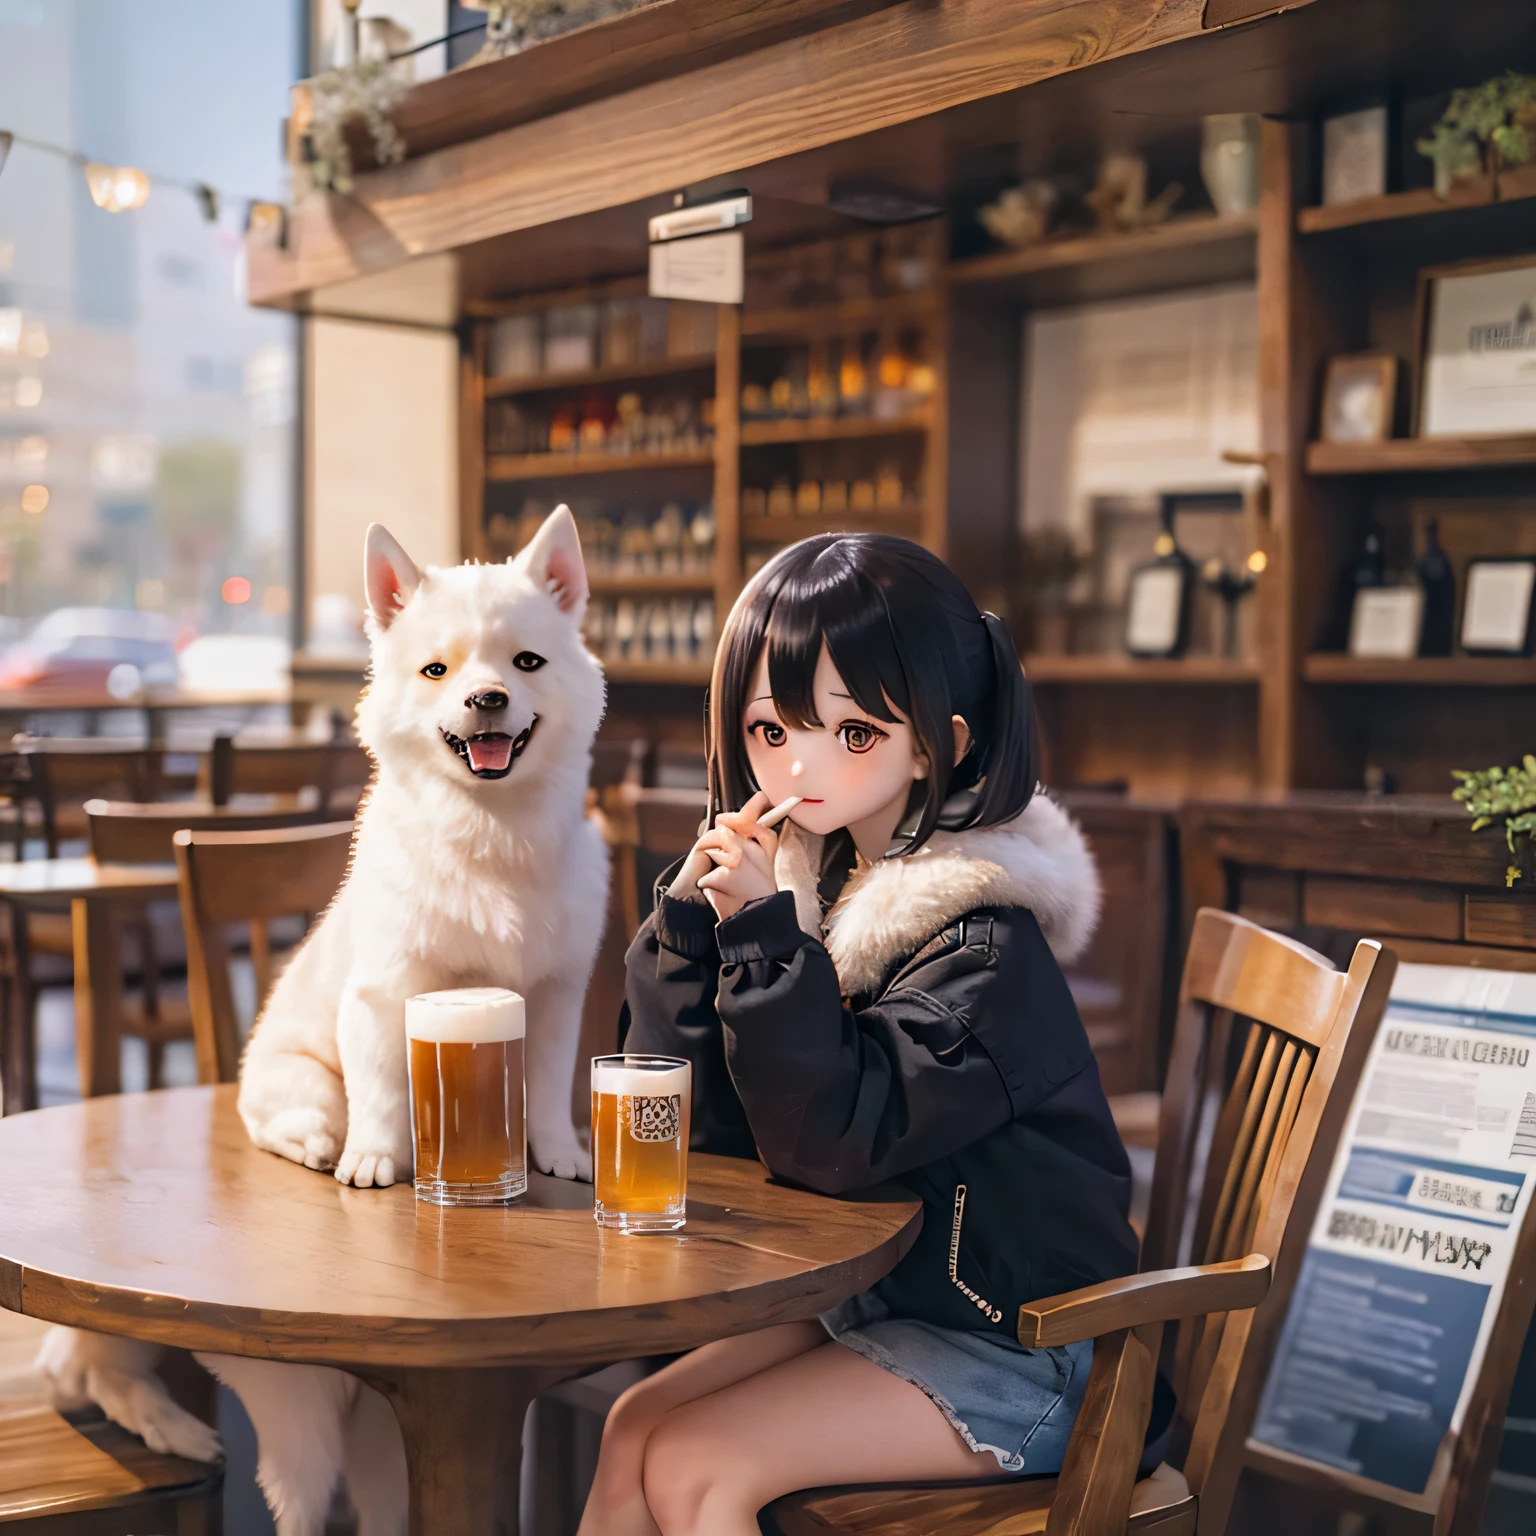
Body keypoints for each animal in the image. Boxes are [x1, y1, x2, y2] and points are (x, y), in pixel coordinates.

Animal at [37, 513, 611, 1536]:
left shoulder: (553, 993)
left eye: (527, 661)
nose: (489, 697)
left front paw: (554, 1153)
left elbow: (545, 1091)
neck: (491, 836)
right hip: (298, 1084)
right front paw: (379, 1161)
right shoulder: (388, 997)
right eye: (437, 670)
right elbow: (384, 1093)